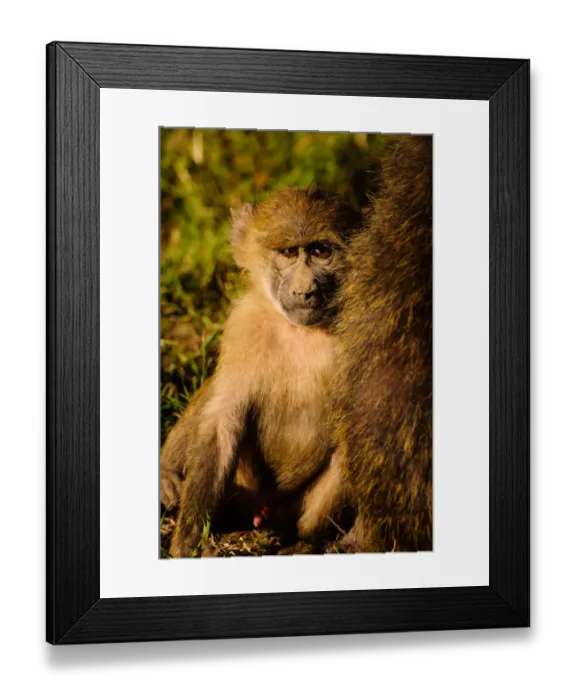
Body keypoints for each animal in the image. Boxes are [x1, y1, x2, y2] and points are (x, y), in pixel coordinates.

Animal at [162, 187, 359, 557]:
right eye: (287, 253)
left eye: (320, 252)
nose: (304, 291)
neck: (301, 331)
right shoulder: (243, 323)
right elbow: (222, 423)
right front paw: (187, 543)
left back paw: (303, 543)